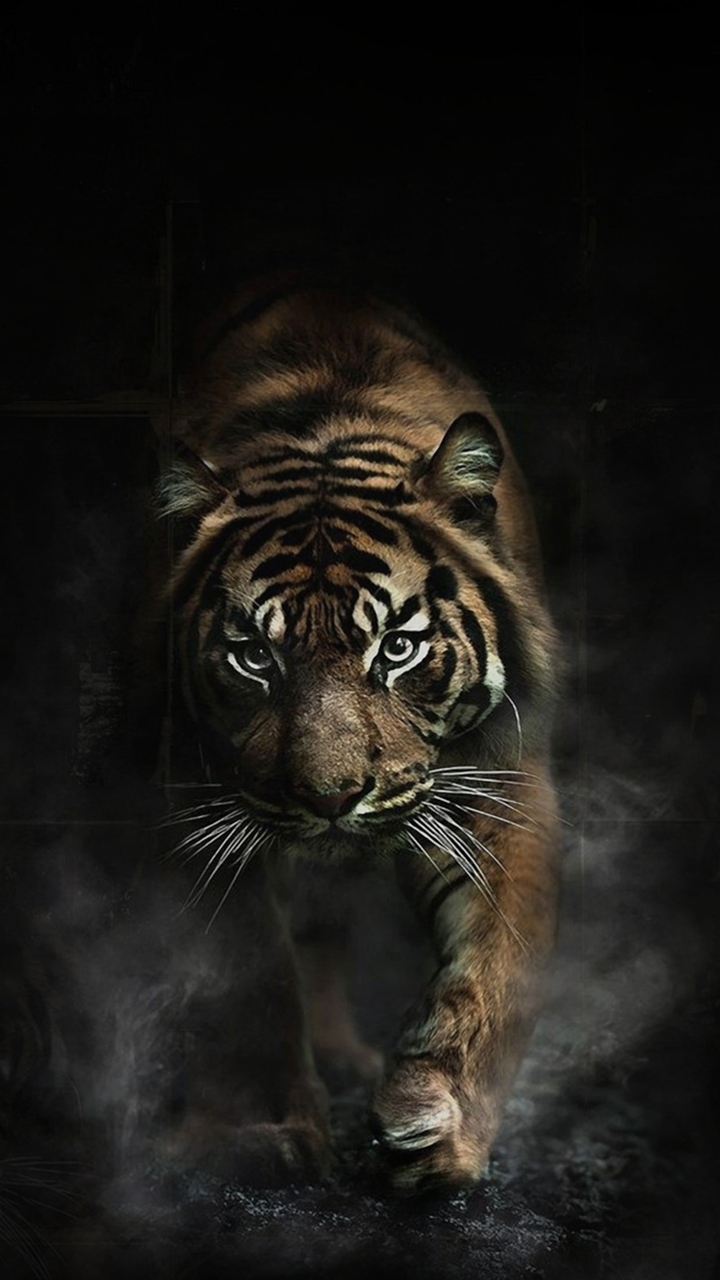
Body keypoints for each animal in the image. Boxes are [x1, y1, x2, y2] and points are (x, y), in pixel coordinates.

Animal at [149, 272, 561, 1195]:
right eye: (254, 657)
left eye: (397, 648)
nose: (331, 797)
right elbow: (253, 973)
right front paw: (264, 1133)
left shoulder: (499, 781)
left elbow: (498, 965)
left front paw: (437, 1126)